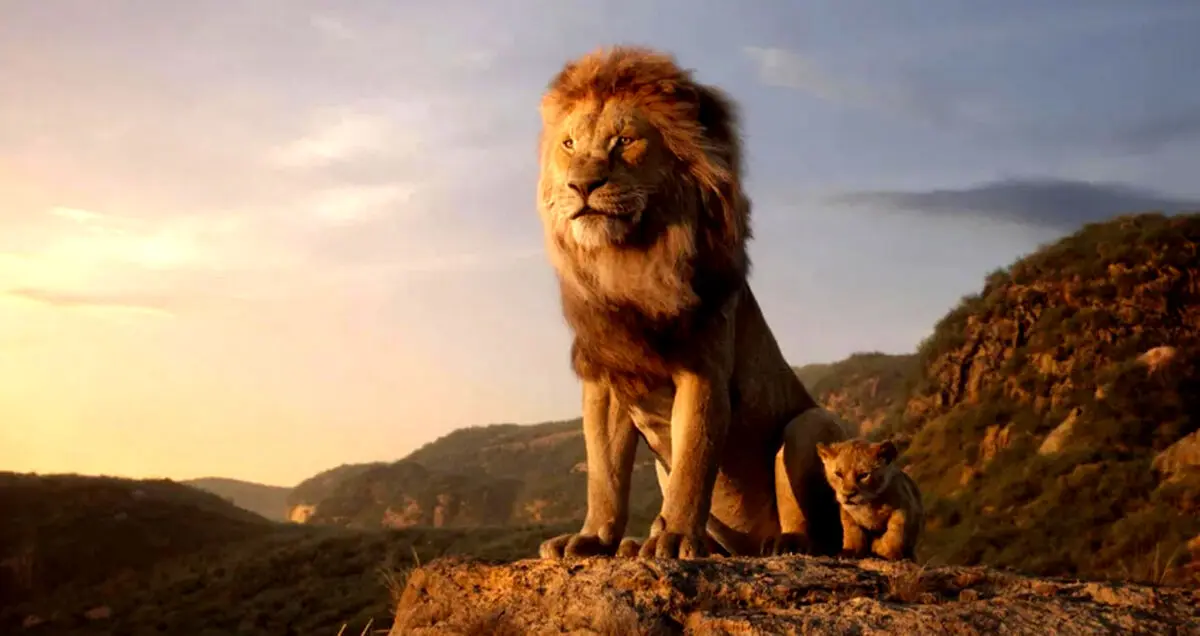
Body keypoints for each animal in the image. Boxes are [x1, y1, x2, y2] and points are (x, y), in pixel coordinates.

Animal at [533, 46, 851, 560]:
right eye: (568, 144)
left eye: (624, 141)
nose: (581, 185)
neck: (628, 264)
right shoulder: (606, 380)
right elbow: (604, 474)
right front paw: (594, 538)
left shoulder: (703, 371)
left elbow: (693, 463)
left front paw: (677, 538)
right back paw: (640, 543)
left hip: (809, 425)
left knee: (817, 530)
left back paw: (782, 543)